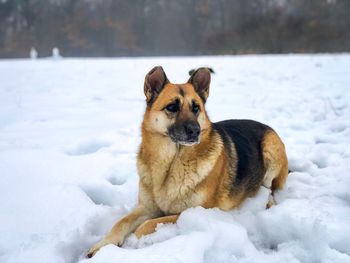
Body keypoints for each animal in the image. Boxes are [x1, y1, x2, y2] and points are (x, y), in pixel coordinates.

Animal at [87, 66, 288, 258]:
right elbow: (121, 222)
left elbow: (148, 225)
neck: (171, 163)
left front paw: (133, 243)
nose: (195, 131)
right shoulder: (146, 207)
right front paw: (103, 245)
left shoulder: (194, 211)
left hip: (270, 148)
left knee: (269, 188)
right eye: (172, 107)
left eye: (196, 108)